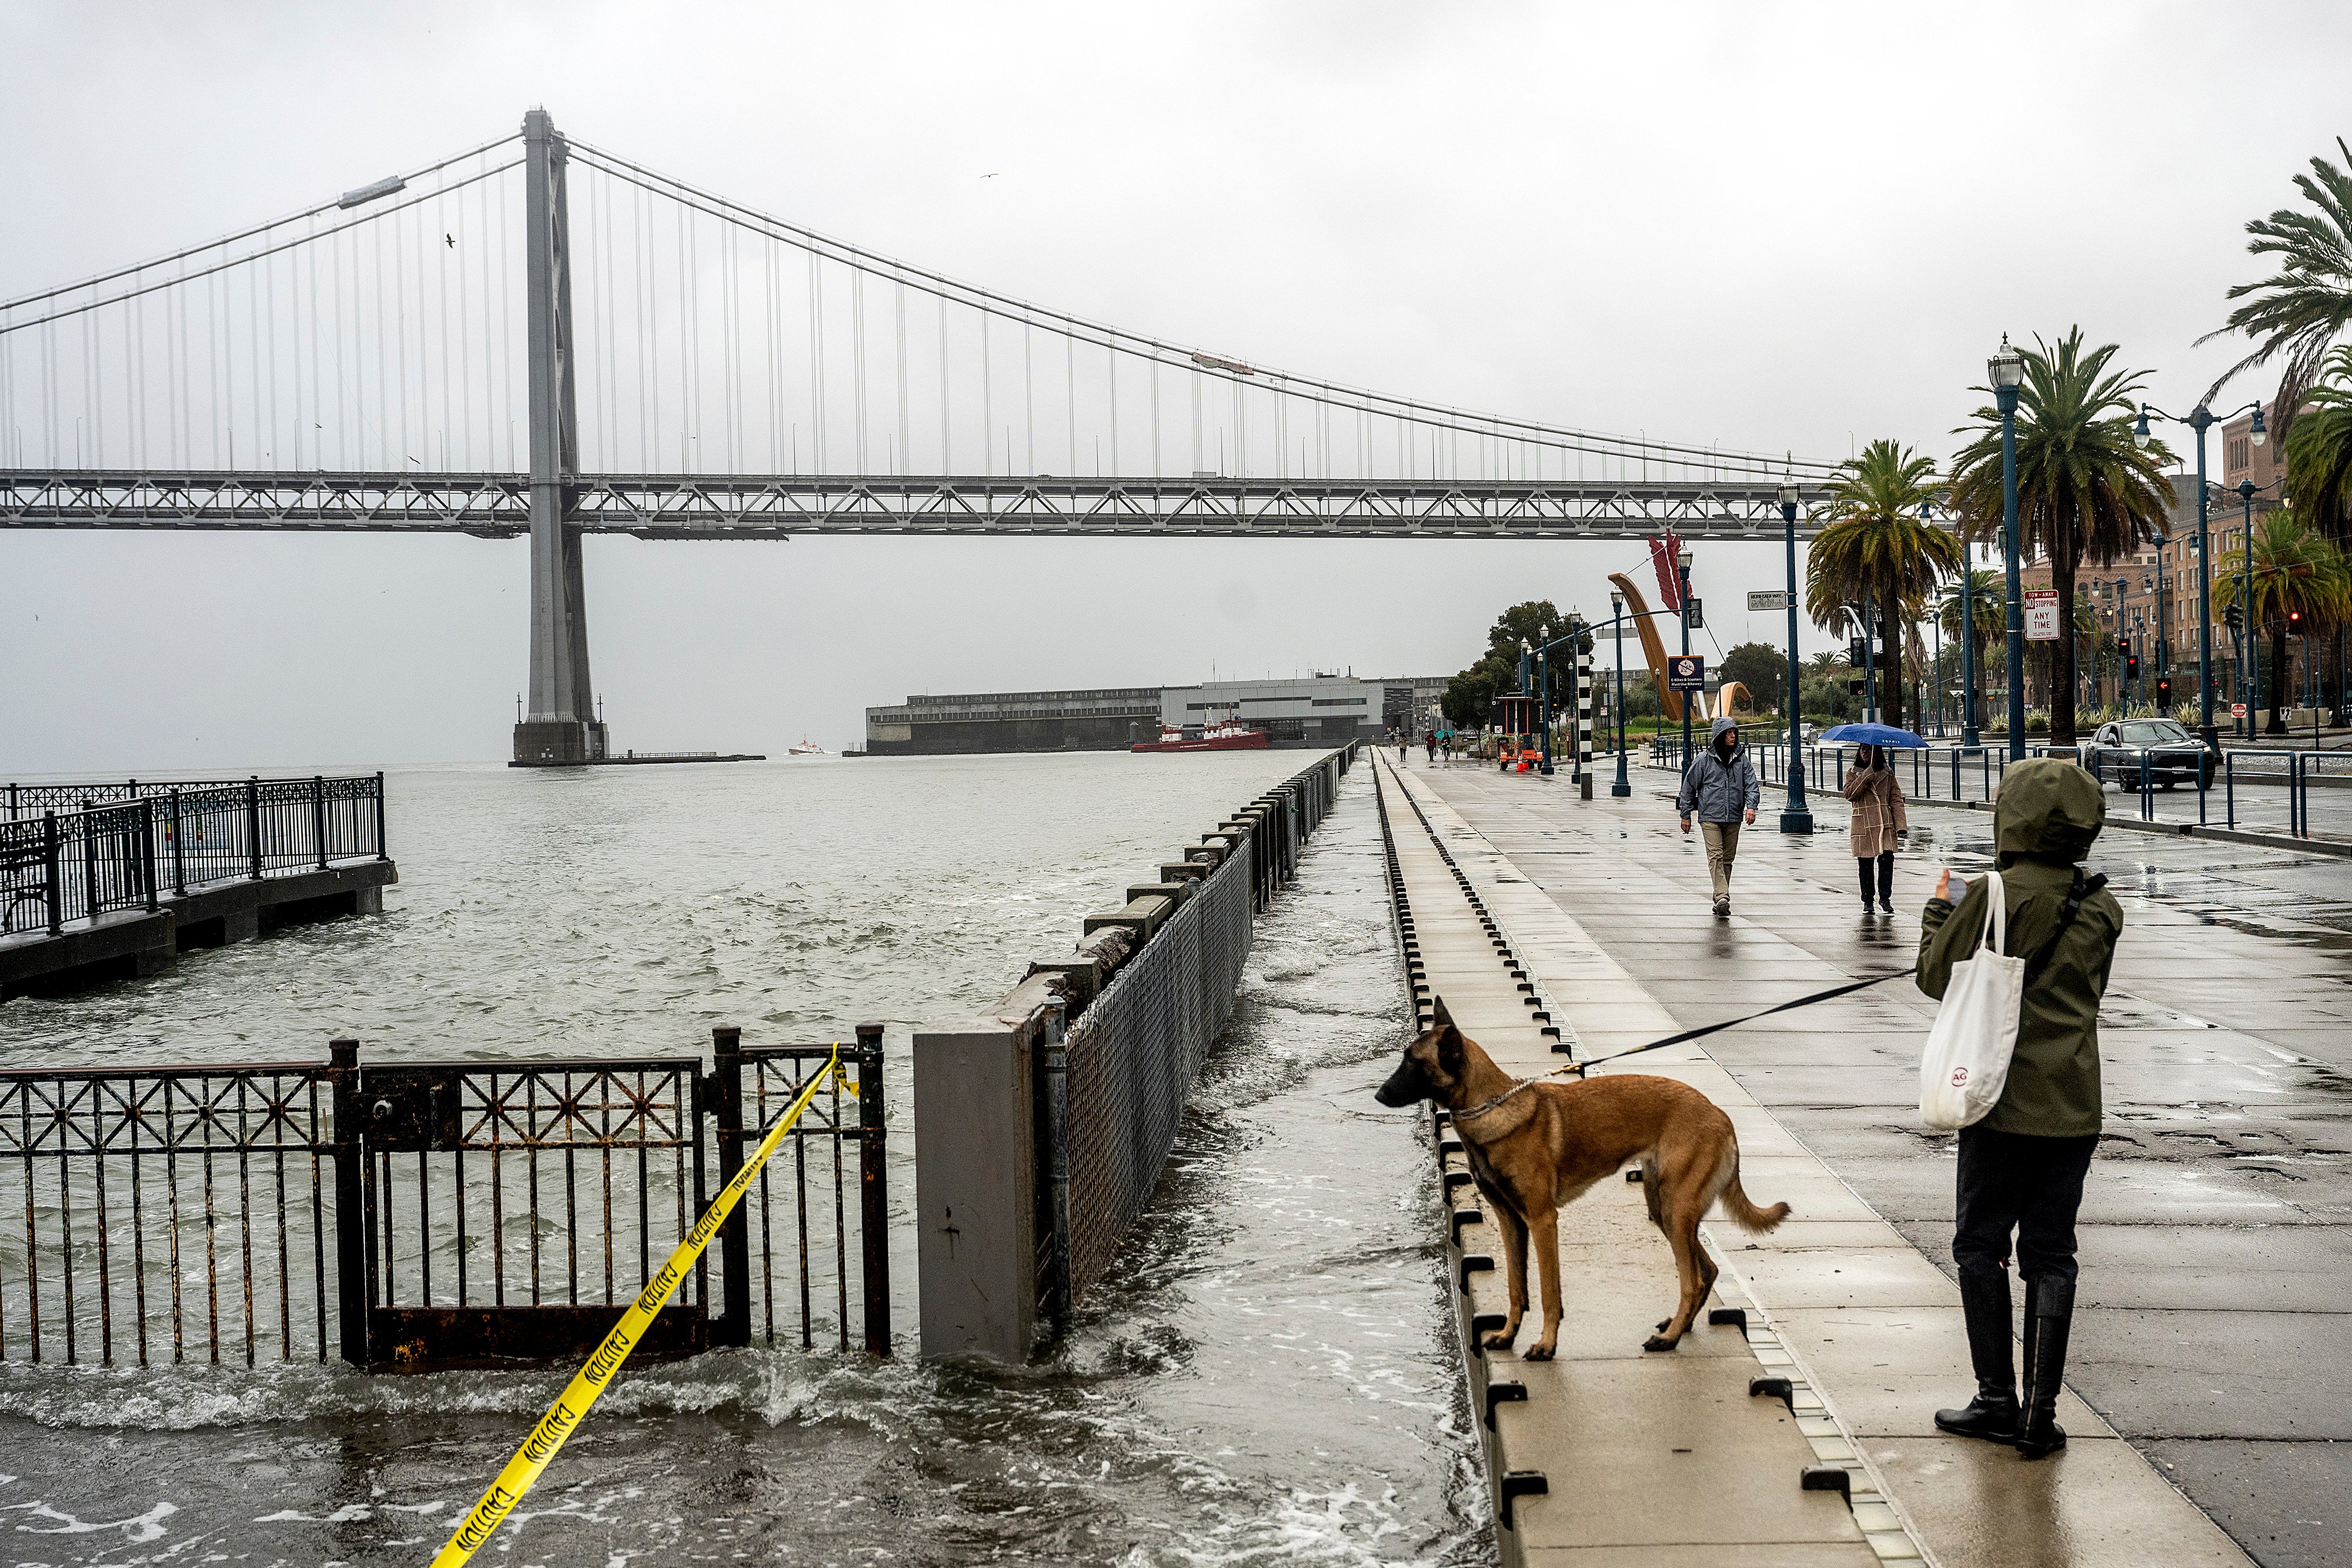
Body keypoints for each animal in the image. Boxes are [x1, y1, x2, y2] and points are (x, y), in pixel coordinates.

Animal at [1374, 1006, 1788, 1363]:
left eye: (1412, 1062)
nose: (1378, 1094)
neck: (1493, 1106)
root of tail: (1721, 1115)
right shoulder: (1510, 1221)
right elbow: (1516, 1287)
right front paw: (1508, 1335)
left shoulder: (1542, 1220)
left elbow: (1548, 1292)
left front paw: (1546, 1345)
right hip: (1664, 1209)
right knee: (1708, 1272)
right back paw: (1678, 1326)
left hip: (1675, 1209)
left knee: (1692, 1281)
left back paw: (1669, 1339)